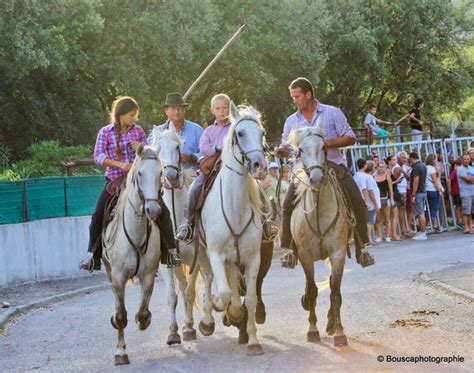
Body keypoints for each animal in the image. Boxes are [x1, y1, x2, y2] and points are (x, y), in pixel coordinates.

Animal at [102, 144, 163, 364]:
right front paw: (120, 352)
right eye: (140, 173)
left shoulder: (148, 276)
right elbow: (121, 315)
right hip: (109, 271)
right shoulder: (118, 277)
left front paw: (143, 320)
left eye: (160, 173)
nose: (153, 209)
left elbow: (143, 311)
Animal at [151, 129, 216, 344]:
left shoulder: (195, 259)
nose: (171, 176)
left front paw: (188, 327)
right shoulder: (167, 263)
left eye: (178, 147)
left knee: (210, 278)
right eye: (157, 150)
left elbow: (189, 292)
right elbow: (173, 295)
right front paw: (174, 332)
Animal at [199, 102, 266, 354]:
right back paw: (207, 319)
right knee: (209, 278)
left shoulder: (253, 258)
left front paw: (253, 341)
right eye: (240, 133)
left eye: (262, 133)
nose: (260, 166)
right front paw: (221, 306)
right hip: (201, 252)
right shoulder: (216, 255)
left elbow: (250, 299)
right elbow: (225, 291)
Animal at [288, 124, 356, 346]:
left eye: (324, 148)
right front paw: (312, 330)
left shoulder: (338, 253)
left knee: (334, 285)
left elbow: (335, 293)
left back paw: (332, 323)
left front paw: (340, 333)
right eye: (300, 150)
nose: (316, 179)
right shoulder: (305, 256)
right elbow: (312, 291)